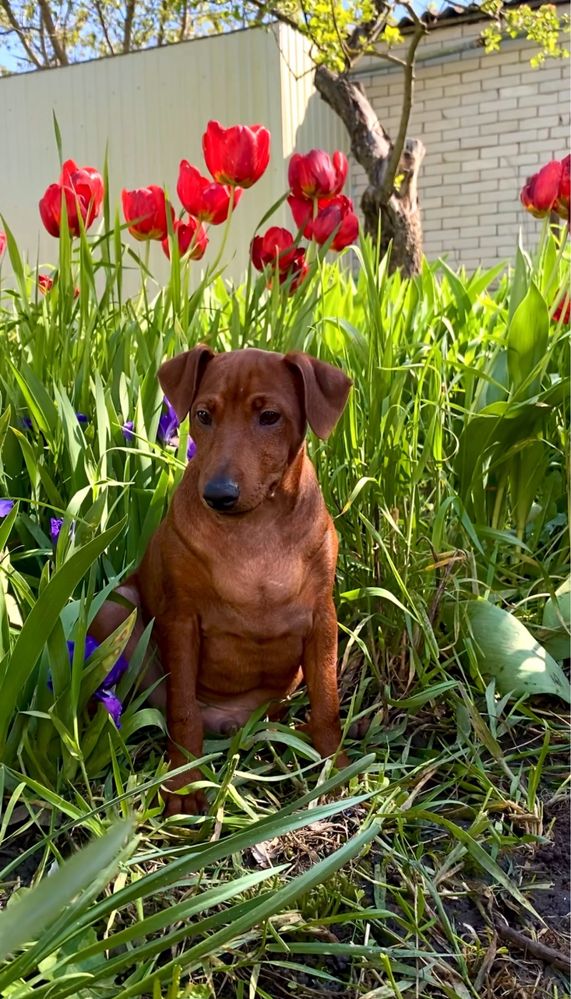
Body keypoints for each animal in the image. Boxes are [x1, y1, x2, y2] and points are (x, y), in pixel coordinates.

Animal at [91, 344, 350, 812]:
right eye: (203, 415)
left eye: (269, 416)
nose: (218, 494)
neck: (256, 526)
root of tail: (232, 723)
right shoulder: (180, 621)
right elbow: (183, 712)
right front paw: (182, 785)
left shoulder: (322, 618)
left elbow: (327, 702)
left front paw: (335, 769)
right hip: (117, 607)